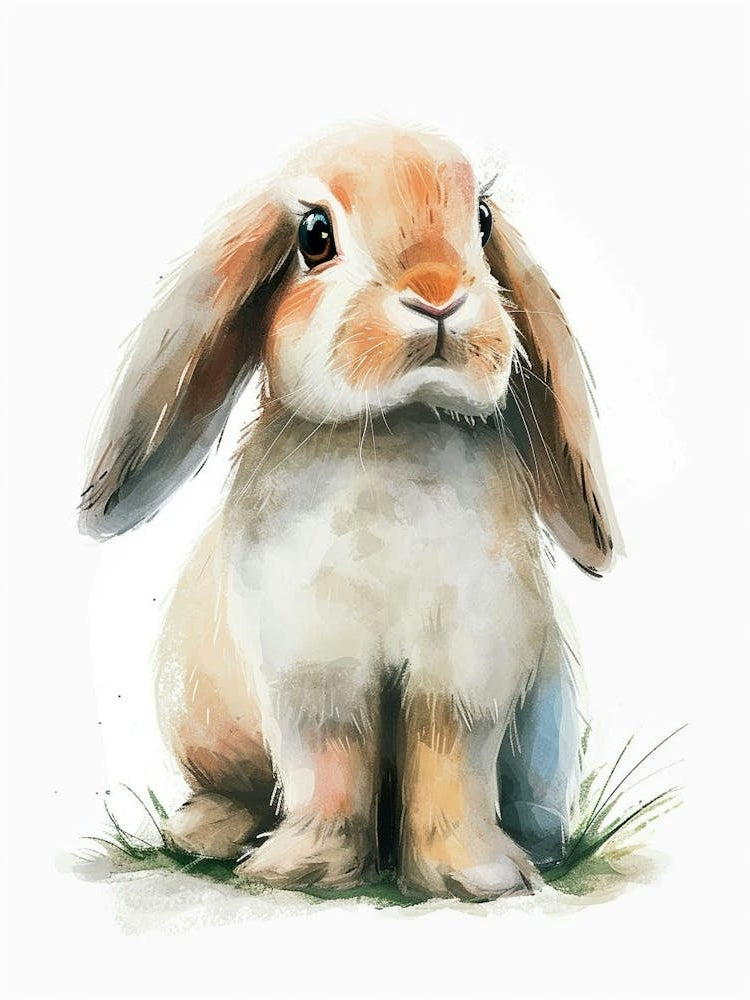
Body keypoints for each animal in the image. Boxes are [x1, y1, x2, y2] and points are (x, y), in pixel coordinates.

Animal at [79, 124, 622, 901]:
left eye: (482, 219)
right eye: (315, 235)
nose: (436, 295)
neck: (392, 429)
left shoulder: (465, 666)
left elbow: (450, 757)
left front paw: (474, 876)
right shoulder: (312, 669)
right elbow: (330, 757)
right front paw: (302, 870)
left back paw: (537, 849)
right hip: (206, 727)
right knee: (239, 791)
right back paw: (204, 836)